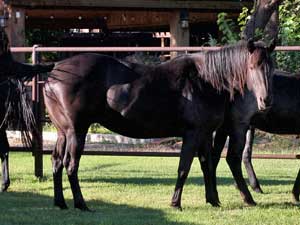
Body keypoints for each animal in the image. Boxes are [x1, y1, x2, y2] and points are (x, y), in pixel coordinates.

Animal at [43, 39, 276, 210]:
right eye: (252, 66)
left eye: (271, 68)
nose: (266, 101)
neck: (205, 81)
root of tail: (55, 71)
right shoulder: (192, 134)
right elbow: (184, 168)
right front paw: (176, 203)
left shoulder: (204, 134)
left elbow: (207, 166)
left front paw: (213, 200)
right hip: (77, 131)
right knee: (71, 165)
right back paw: (81, 204)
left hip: (63, 132)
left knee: (57, 161)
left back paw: (60, 203)